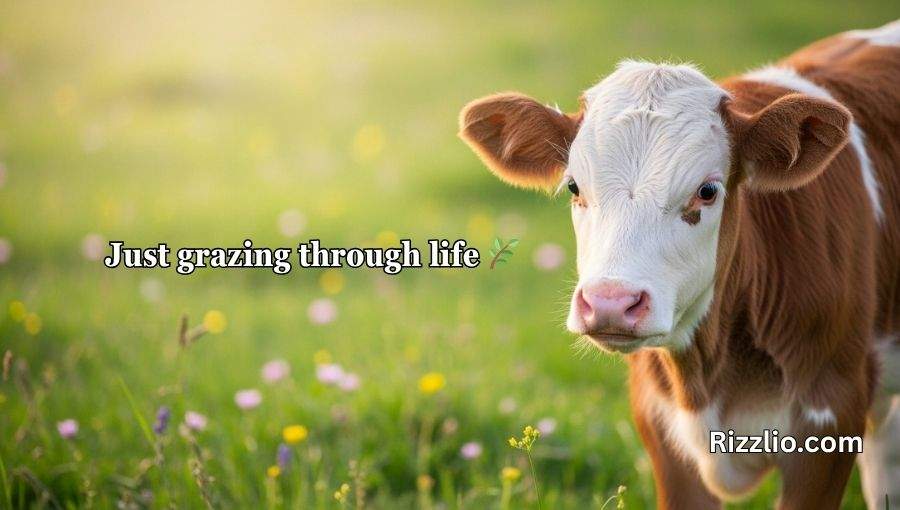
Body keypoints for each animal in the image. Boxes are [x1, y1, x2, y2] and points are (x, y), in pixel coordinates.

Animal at [458, 20, 900, 509]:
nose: (610, 303)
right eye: (573, 186)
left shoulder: (830, 416)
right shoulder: (662, 429)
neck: (711, 379)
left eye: (707, 190)